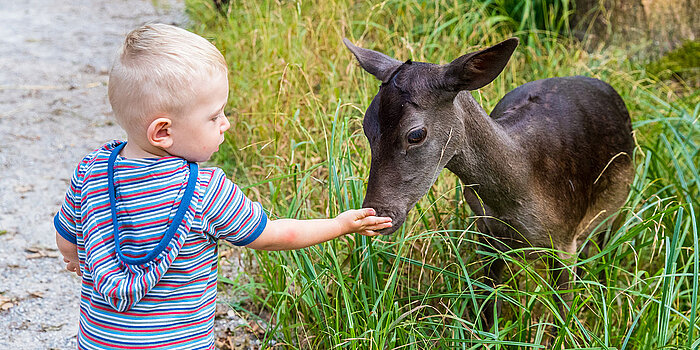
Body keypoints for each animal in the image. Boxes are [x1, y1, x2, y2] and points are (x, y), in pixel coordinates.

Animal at [344, 38, 636, 334]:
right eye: (366, 126)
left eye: (415, 134)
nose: (377, 213)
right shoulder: (486, 232)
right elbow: (487, 305)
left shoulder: (565, 241)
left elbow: (561, 320)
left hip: (617, 203)